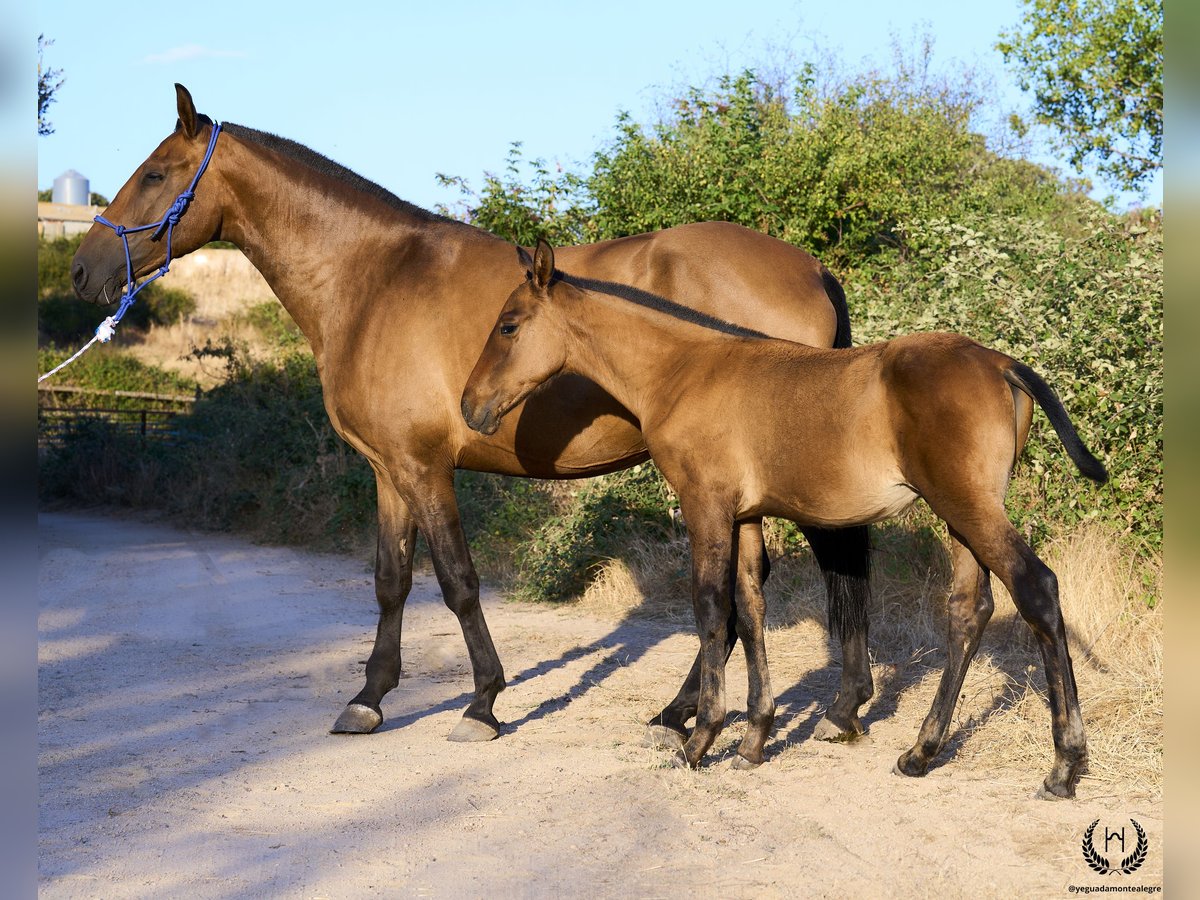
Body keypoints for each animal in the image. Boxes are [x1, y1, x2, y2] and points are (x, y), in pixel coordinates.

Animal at [68, 84, 873, 748]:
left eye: (155, 174)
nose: (82, 270)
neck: (372, 280)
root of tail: (812, 268)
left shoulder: (425, 466)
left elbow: (457, 580)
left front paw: (482, 703)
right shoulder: (388, 470)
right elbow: (391, 579)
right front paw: (368, 699)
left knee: (817, 566)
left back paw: (824, 708)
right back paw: (711, 711)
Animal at [458, 241, 1104, 801]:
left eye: (508, 325)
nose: (470, 407)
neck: (685, 370)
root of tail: (1001, 363)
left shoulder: (705, 505)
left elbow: (711, 609)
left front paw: (700, 738)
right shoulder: (745, 516)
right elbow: (750, 607)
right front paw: (754, 739)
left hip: (966, 504)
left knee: (1037, 588)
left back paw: (1064, 766)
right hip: (961, 515)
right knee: (969, 609)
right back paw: (920, 752)